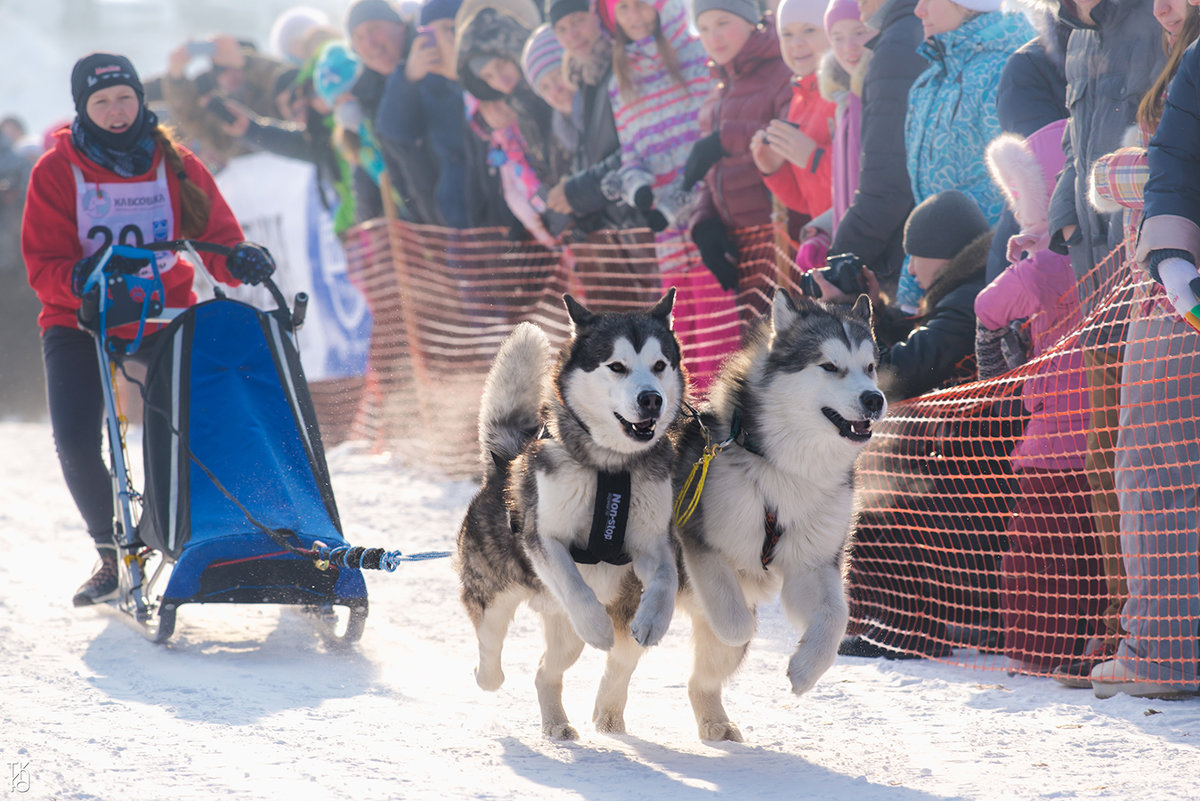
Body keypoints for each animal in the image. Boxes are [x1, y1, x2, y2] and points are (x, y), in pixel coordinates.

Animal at [453, 291, 686, 743]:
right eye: (617, 366)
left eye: (659, 365)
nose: (652, 398)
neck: (612, 468)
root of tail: (502, 465)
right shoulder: (544, 539)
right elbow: (576, 585)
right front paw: (598, 625)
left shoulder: (652, 541)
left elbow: (665, 580)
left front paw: (653, 621)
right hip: (494, 595)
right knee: (490, 646)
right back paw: (485, 674)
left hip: (563, 634)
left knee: (545, 671)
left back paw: (556, 723)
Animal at [676, 286, 883, 738]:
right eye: (829, 366)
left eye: (871, 368)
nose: (874, 399)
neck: (788, 471)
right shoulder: (699, 540)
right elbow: (734, 620)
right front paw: (739, 620)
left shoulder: (813, 564)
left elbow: (836, 616)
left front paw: (806, 668)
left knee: (699, 680)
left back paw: (714, 723)